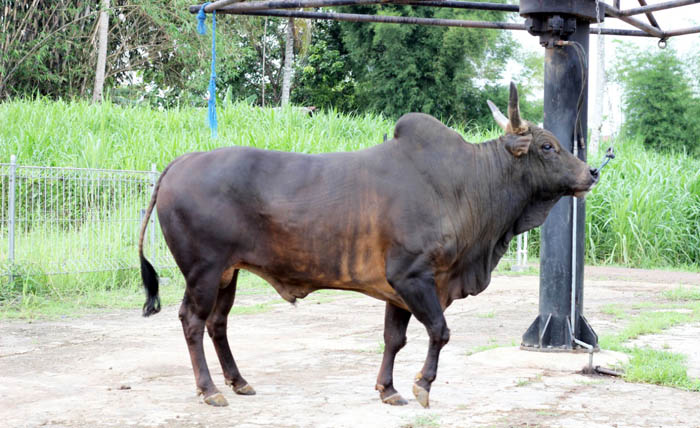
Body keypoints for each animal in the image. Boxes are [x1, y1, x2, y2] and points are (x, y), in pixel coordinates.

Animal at [139, 83, 600, 408]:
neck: (466, 184)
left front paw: (389, 389)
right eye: (547, 146)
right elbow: (439, 331)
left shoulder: (398, 289)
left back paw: (238, 381)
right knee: (192, 321)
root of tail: (181, 162)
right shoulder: (414, 277)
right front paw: (422, 385)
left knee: (217, 323)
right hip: (203, 270)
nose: (591, 172)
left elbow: (393, 339)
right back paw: (209, 389)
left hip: (228, 272)